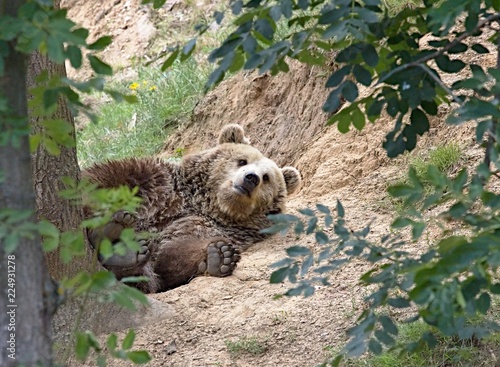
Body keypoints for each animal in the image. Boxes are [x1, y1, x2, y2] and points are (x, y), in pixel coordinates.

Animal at [84, 125, 300, 294]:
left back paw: (126, 255)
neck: (207, 204)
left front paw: (220, 256)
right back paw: (112, 228)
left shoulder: (207, 226)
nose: (251, 178)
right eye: (242, 160)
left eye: (266, 177)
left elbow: (172, 254)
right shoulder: (161, 185)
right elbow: (108, 177)